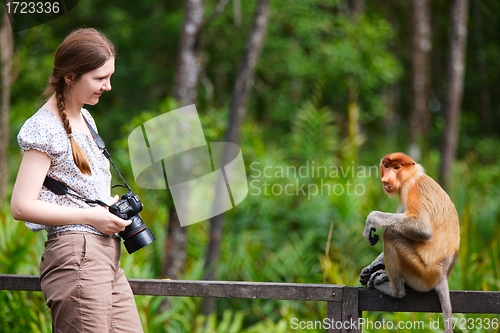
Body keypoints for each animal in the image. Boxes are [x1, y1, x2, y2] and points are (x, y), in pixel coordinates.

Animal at [360, 152, 460, 330]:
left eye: (396, 167)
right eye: (386, 166)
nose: (386, 179)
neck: (411, 176)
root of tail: (442, 276)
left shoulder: (410, 189)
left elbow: (423, 229)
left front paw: (371, 220)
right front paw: (370, 268)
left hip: (421, 274)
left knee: (391, 235)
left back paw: (394, 290)